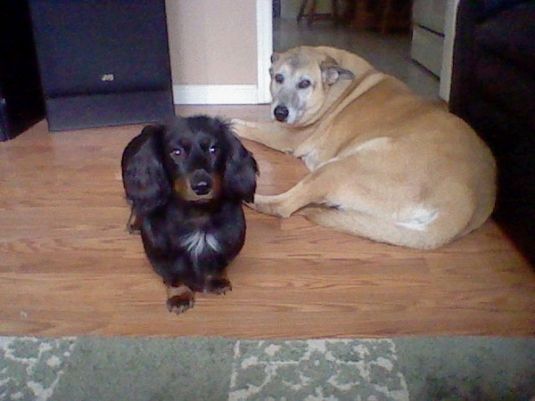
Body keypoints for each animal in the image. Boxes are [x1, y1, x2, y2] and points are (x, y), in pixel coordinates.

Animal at [121, 115, 258, 312]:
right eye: (176, 152)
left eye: (213, 149)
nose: (202, 186)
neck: (197, 213)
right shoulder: (161, 253)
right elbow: (173, 276)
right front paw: (180, 296)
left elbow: (218, 263)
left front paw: (217, 280)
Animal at [234, 45, 498, 248]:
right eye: (278, 78)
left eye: (305, 83)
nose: (280, 112)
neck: (334, 86)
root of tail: (467, 204)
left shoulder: (287, 136)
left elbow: (246, 126)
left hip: (344, 164)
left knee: (282, 206)